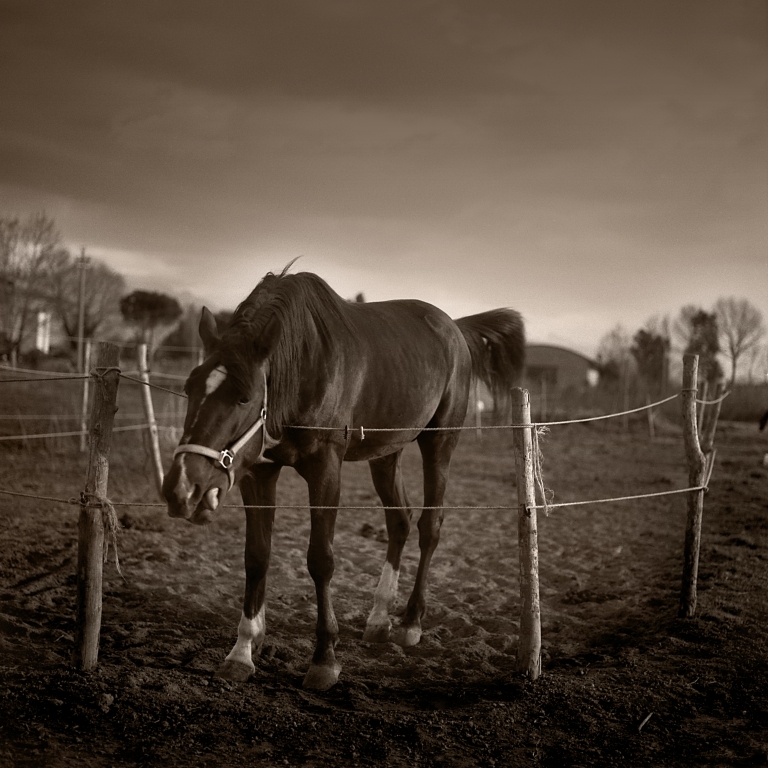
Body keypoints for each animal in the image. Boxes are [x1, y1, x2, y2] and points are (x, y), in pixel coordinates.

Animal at [162, 268, 525, 690]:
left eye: (244, 397)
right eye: (189, 388)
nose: (180, 487)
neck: (303, 365)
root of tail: (455, 328)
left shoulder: (325, 468)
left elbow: (321, 559)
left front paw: (324, 658)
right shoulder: (259, 472)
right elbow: (256, 556)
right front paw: (242, 651)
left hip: (439, 443)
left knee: (429, 526)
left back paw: (411, 622)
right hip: (386, 453)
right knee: (399, 521)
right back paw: (380, 619)